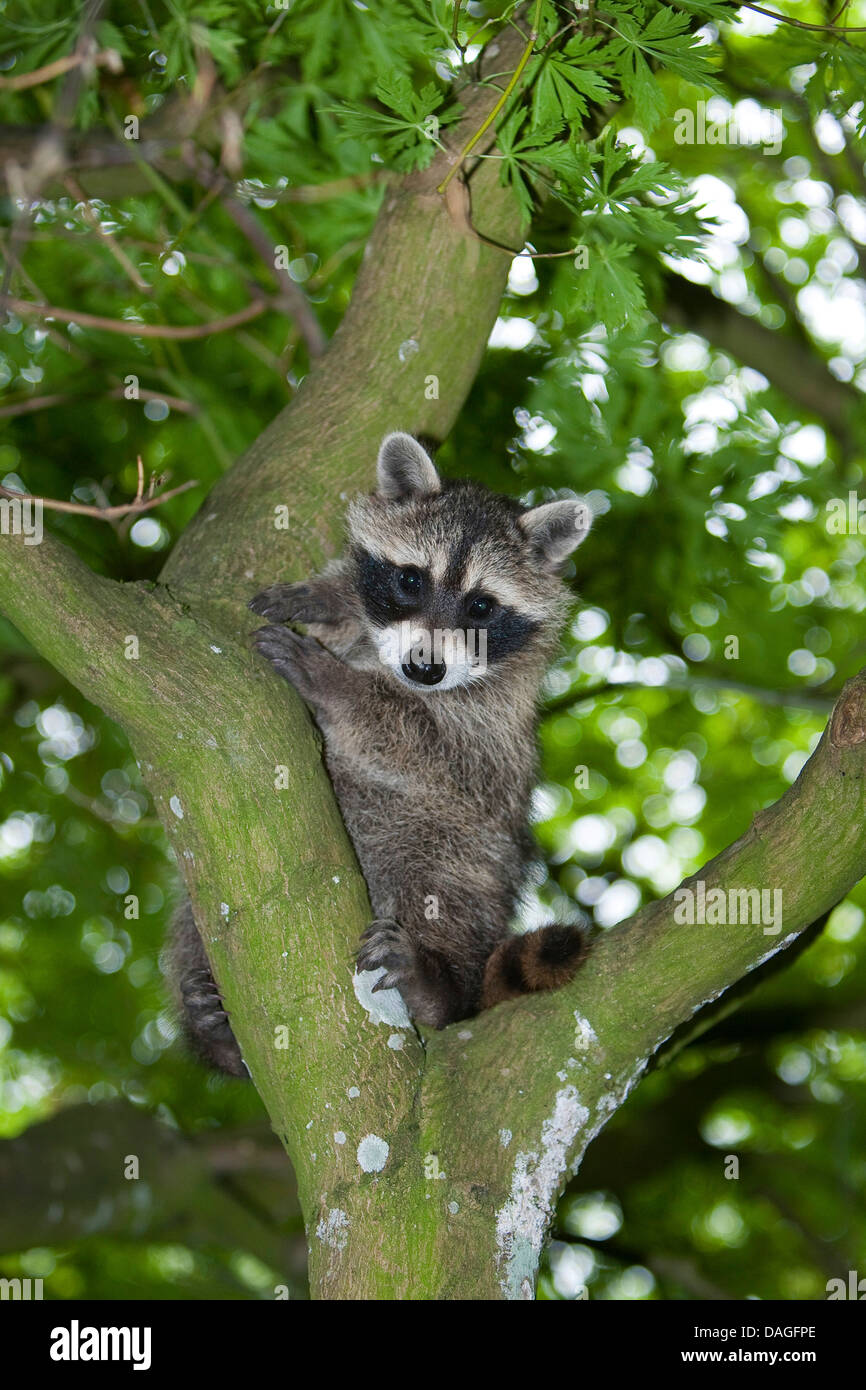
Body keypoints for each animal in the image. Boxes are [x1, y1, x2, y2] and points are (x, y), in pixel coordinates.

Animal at [168, 433, 592, 1076]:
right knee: (191, 928)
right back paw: (216, 1033)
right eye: (411, 580)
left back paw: (438, 987)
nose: (426, 668)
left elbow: (419, 741)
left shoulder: (487, 729)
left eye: (481, 607)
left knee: (442, 888)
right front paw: (327, 594)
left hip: (466, 857)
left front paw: (335, 683)